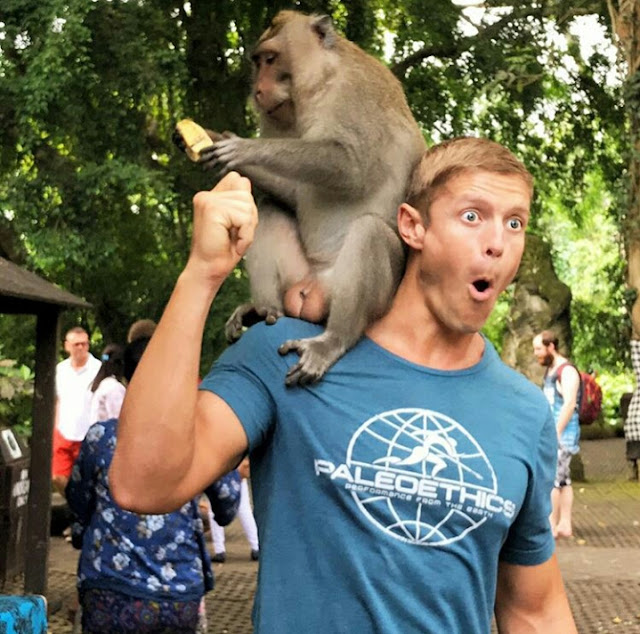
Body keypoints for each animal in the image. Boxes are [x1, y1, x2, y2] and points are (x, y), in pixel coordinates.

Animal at [175, 9, 424, 386]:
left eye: (271, 59)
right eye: (257, 62)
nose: (258, 90)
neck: (320, 84)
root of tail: (317, 286)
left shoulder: (357, 93)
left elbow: (351, 165)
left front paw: (243, 147)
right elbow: (290, 193)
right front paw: (212, 140)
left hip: (369, 300)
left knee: (369, 232)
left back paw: (334, 339)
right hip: (299, 278)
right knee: (270, 208)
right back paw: (263, 308)